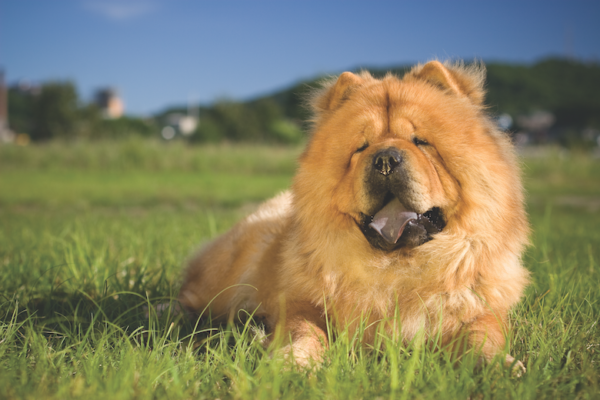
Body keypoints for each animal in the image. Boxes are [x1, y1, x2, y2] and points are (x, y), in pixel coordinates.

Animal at [179, 61, 528, 370]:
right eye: (362, 147)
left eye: (421, 142)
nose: (385, 159)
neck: (397, 267)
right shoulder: (300, 304)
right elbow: (306, 330)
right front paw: (294, 361)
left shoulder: (481, 308)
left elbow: (481, 334)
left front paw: (499, 366)